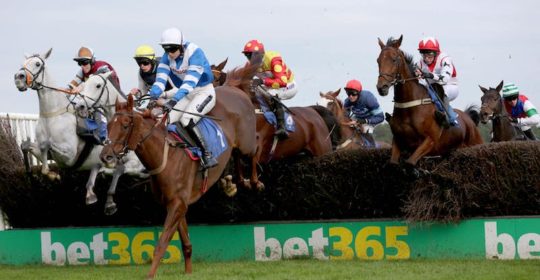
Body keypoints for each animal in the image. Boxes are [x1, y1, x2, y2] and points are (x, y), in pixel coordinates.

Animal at [13, 48, 146, 214]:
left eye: (37, 63)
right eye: (24, 63)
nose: (18, 78)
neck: (52, 116)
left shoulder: (70, 155)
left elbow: (46, 146)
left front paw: (52, 175)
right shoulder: (51, 155)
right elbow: (27, 146)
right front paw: (36, 172)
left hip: (133, 162)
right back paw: (91, 194)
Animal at [100, 78, 260, 278]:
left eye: (125, 124)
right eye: (108, 125)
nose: (106, 156)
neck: (166, 156)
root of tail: (233, 88)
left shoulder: (177, 204)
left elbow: (162, 243)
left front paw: (150, 275)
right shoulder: (176, 203)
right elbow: (186, 243)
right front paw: (188, 272)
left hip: (246, 142)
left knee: (256, 146)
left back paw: (254, 181)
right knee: (237, 155)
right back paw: (233, 183)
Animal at [374, 35, 484, 175]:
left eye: (394, 59)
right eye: (378, 60)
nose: (381, 88)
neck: (408, 108)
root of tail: (469, 119)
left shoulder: (430, 141)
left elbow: (409, 163)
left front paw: (418, 171)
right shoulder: (398, 140)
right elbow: (393, 164)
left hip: (475, 144)